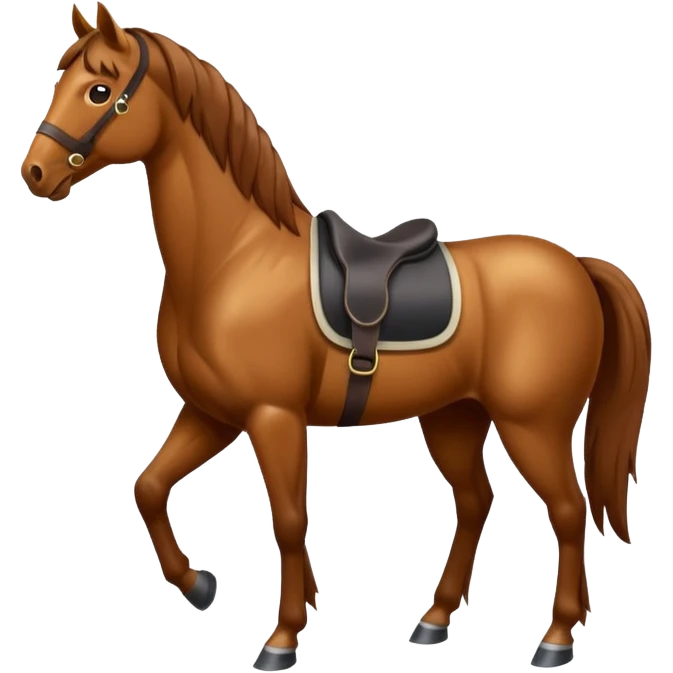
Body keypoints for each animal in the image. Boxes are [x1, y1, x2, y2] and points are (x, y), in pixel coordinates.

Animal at [21, 3, 652, 670]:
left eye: (99, 91)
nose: (34, 171)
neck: (234, 259)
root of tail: (577, 265)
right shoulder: (211, 413)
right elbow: (149, 486)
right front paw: (200, 585)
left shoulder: (271, 417)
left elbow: (288, 520)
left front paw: (282, 637)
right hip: (454, 417)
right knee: (477, 501)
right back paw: (434, 620)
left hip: (533, 425)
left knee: (568, 511)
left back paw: (555, 639)